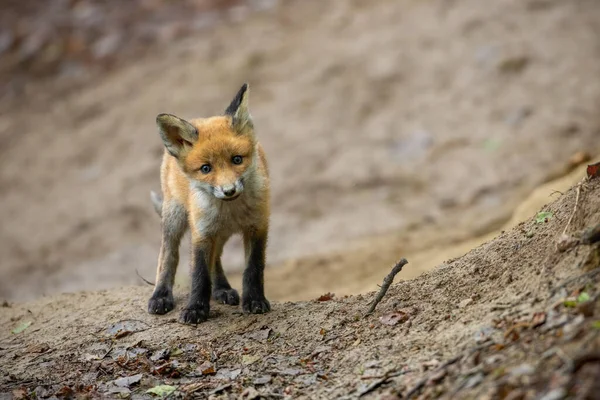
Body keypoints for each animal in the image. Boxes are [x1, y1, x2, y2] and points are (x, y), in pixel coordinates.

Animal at [149, 84, 270, 324]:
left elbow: (253, 268)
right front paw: (195, 308)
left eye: (237, 159)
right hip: (175, 218)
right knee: (168, 256)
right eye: (206, 168)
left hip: (219, 234)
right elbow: (199, 274)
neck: (231, 211)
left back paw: (221, 289)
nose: (229, 190)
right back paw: (161, 295)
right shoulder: (202, 233)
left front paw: (254, 300)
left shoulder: (258, 226)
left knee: (216, 259)